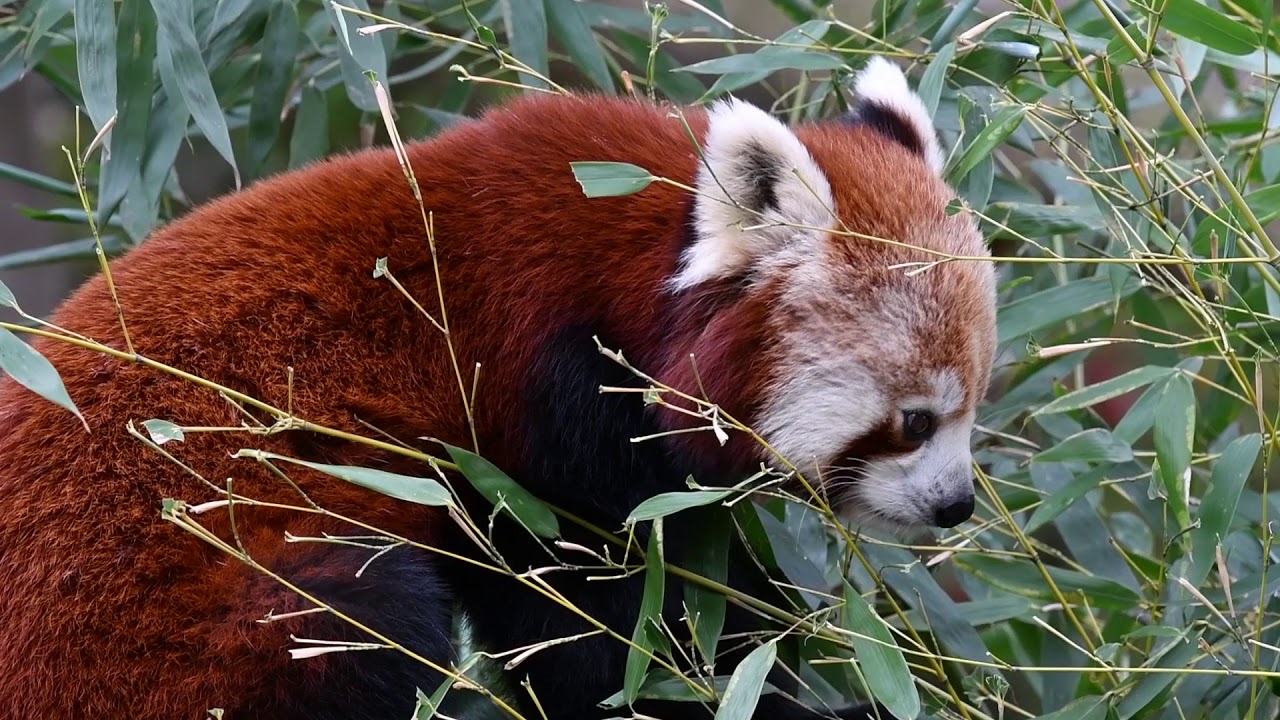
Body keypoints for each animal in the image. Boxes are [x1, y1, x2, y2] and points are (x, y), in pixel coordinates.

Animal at [0, 56, 996, 719]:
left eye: (973, 406)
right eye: (914, 420)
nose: (956, 506)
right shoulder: (544, 411)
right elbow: (604, 627)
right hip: (187, 627)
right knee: (356, 615)